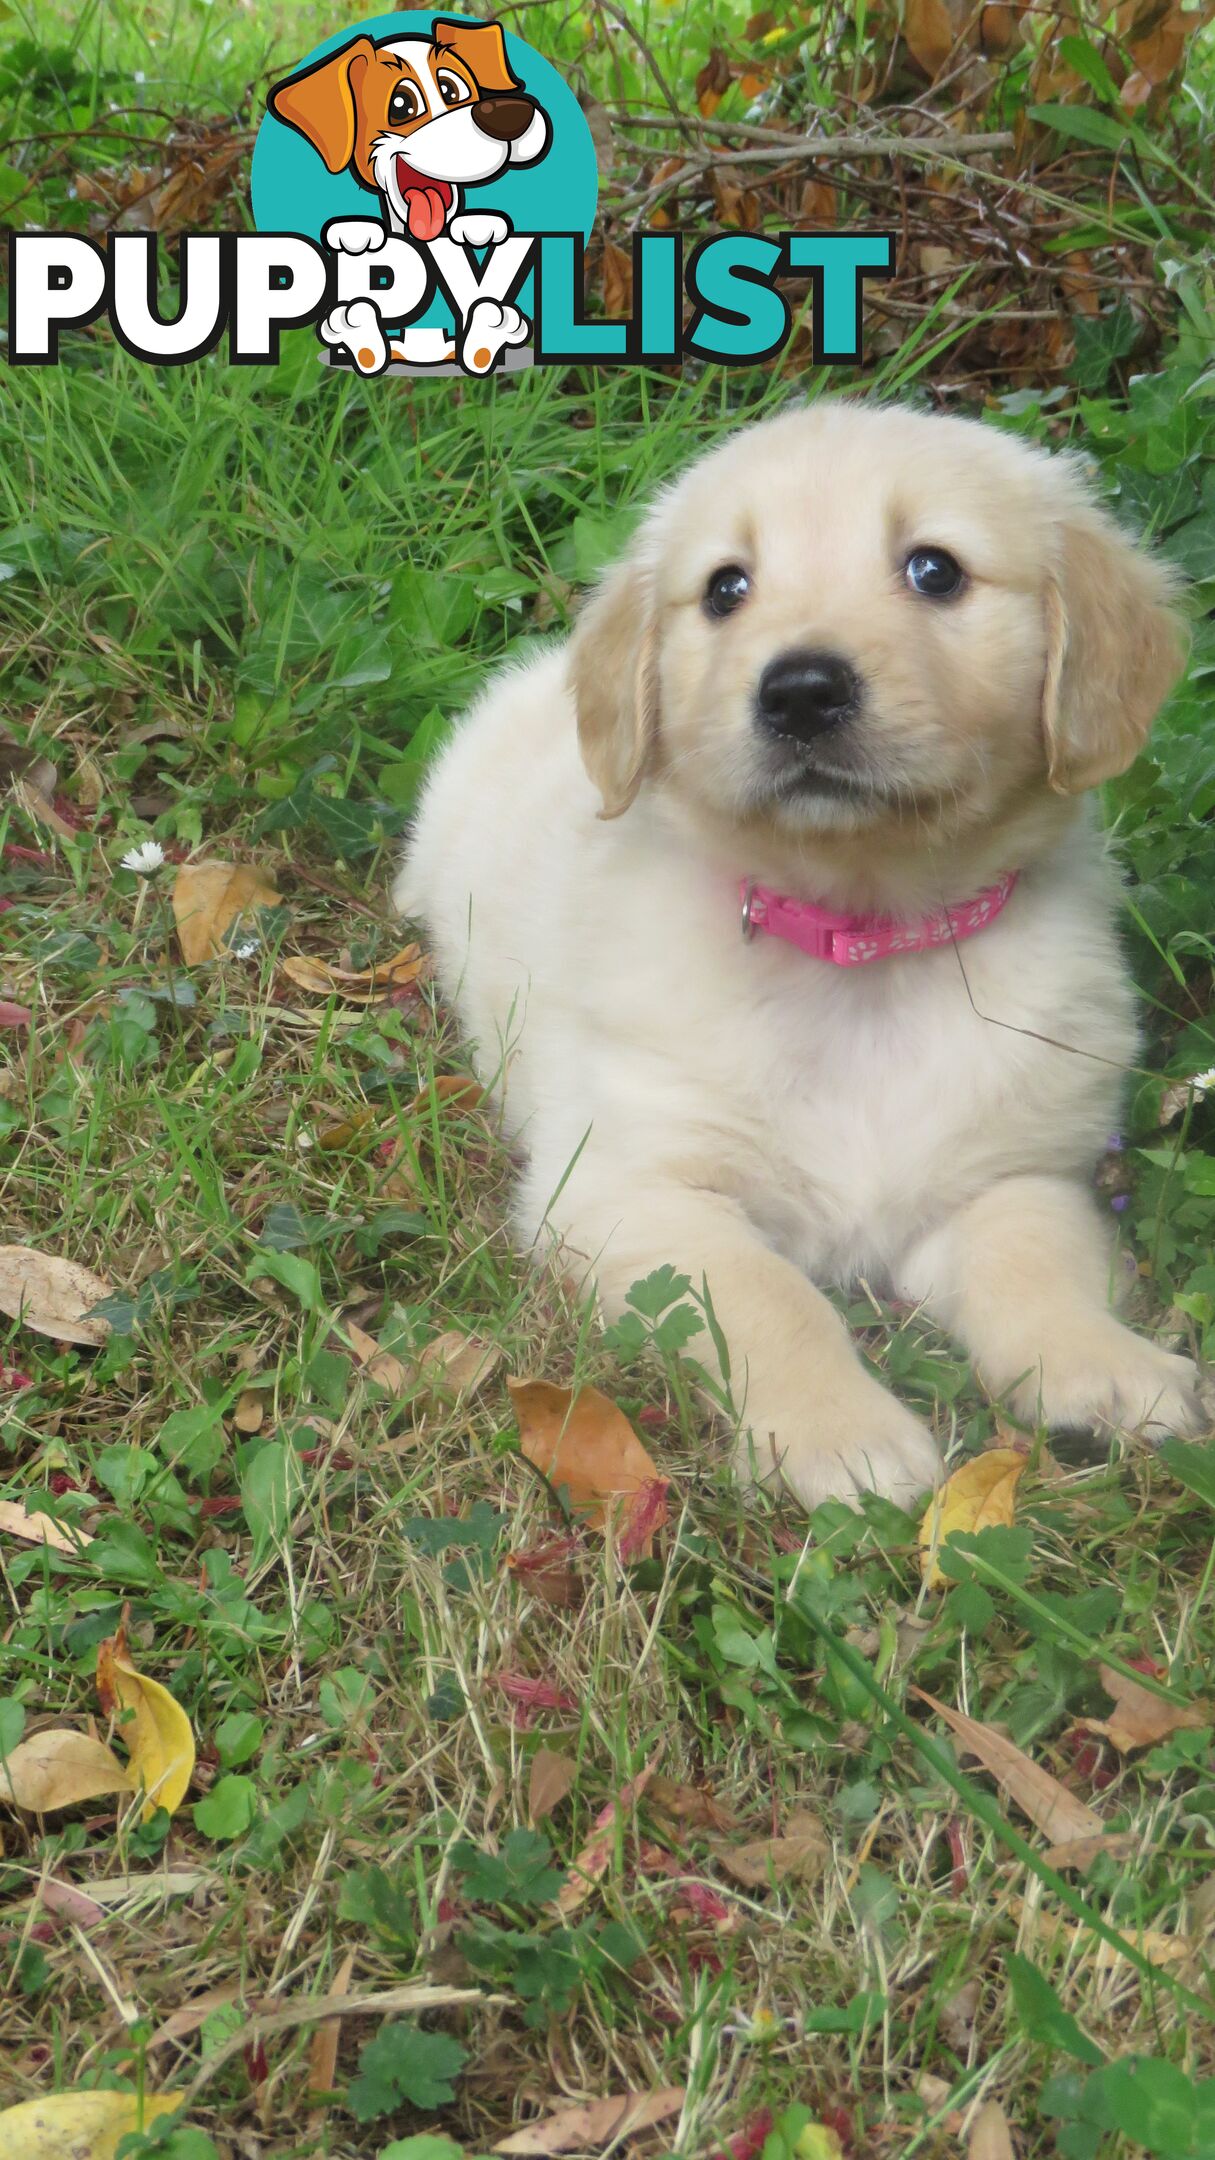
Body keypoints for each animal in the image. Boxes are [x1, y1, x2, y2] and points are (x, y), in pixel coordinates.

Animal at [395, 408, 1202, 1520]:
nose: (802, 690)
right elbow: (766, 1294)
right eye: (726, 588)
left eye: (935, 570)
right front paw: (842, 1432)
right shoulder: (632, 1185)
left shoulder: (1012, 1173)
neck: (861, 946)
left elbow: (1037, 1263)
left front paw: (1104, 1368)